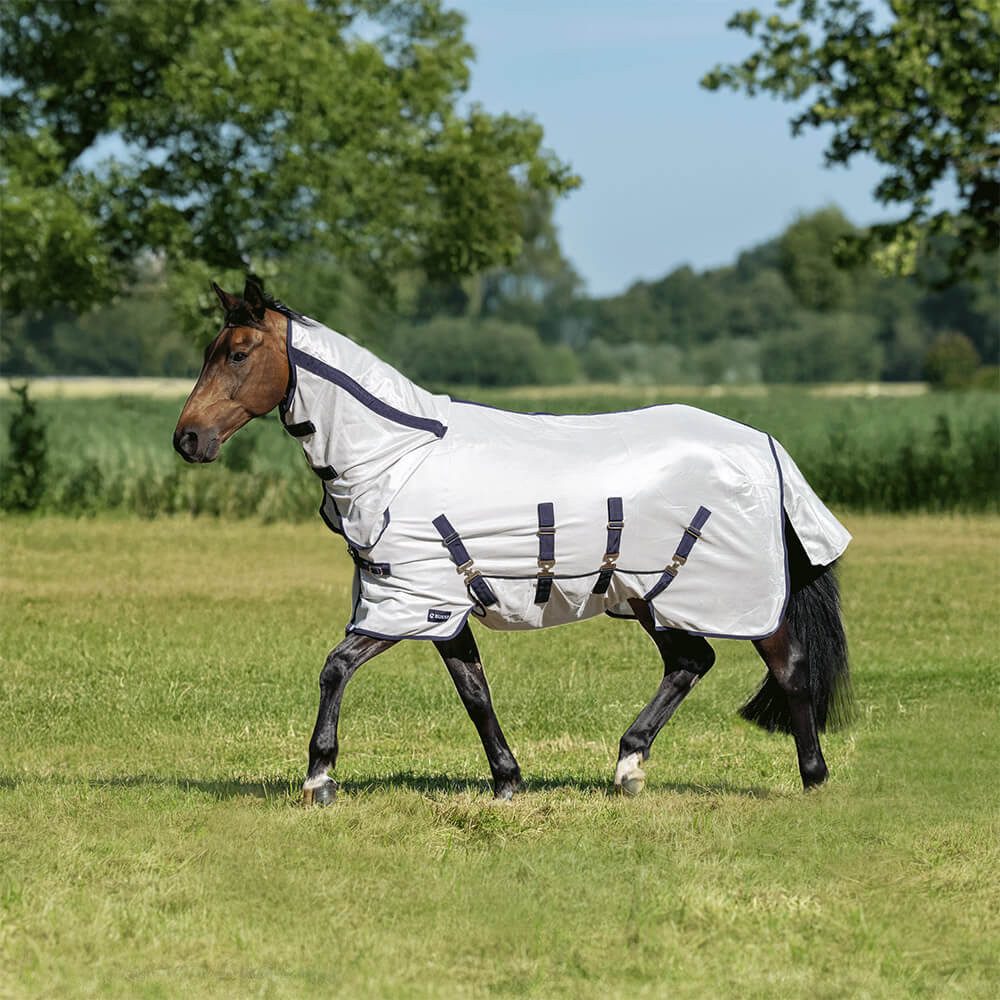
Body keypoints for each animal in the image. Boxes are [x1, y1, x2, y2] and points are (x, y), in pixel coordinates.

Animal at [174, 278, 852, 805]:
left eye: (238, 353)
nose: (188, 439)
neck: (397, 455)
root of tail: (764, 443)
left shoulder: (409, 602)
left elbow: (335, 667)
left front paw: (319, 778)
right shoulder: (440, 606)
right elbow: (474, 691)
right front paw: (507, 780)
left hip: (731, 597)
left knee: (789, 668)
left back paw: (814, 779)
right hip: (647, 594)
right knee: (690, 663)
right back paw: (628, 767)